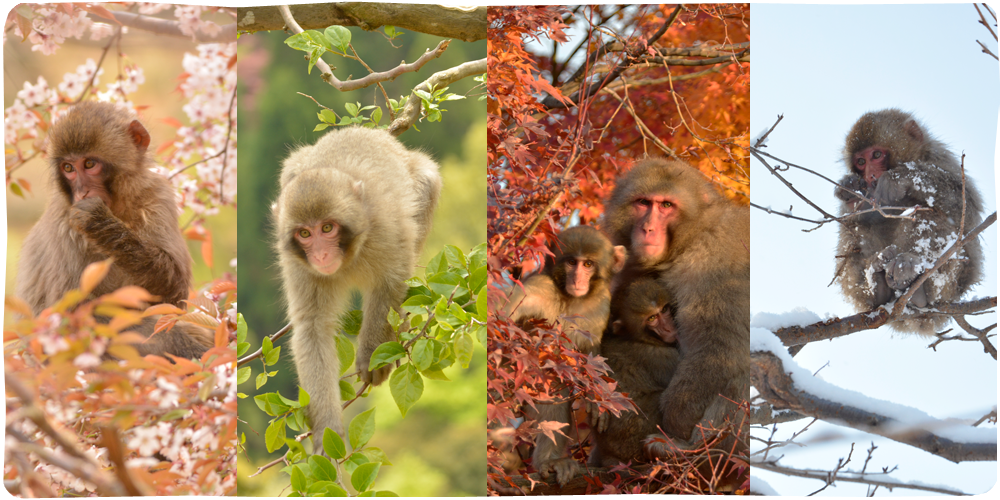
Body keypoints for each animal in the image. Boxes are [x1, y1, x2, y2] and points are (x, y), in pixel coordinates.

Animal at [272, 125, 440, 450]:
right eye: (304, 233)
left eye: (327, 228)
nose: (321, 255)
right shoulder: (299, 265)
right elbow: (313, 326)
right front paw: (327, 431)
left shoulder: (386, 227)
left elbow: (391, 282)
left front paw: (372, 355)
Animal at [836, 109, 984, 336]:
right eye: (861, 162)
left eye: (876, 155)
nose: (870, 175)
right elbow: (854, 218)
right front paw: (851, 190)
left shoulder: (940, 158)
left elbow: (968, 212)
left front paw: (899, 178)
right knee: (857, 229)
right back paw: (875, 287)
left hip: (953, 283)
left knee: (929, 213)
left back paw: (912, 276)